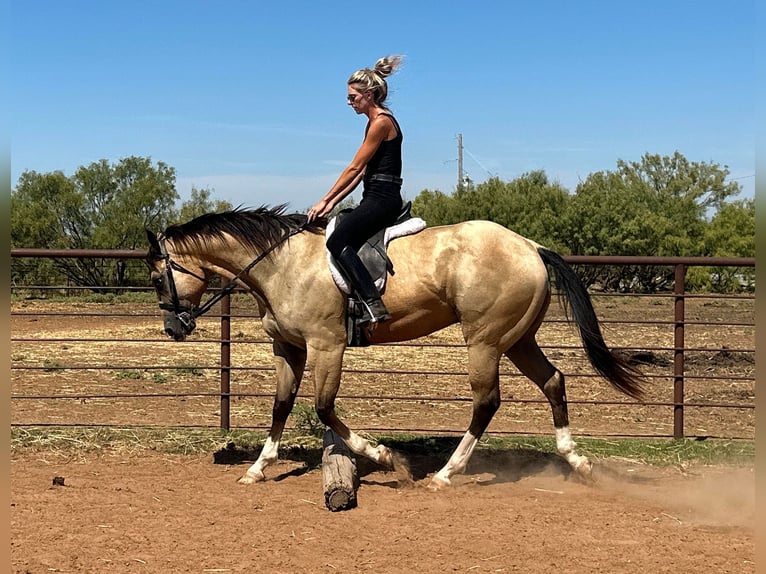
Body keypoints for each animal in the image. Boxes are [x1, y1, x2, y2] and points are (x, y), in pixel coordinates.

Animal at [147, 206, 644, 490]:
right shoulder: (288, 349)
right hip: (518, 340)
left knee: (487, 401)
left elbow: (324, 408)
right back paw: (577, 461)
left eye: (156, 277)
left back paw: (445, 475)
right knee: (553, 381)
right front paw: (257, 468)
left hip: (485, 341)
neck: (281, 263)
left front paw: (388, 458)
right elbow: (281, 406)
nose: (173, 328)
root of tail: (530, 245)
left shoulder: (327, 347)